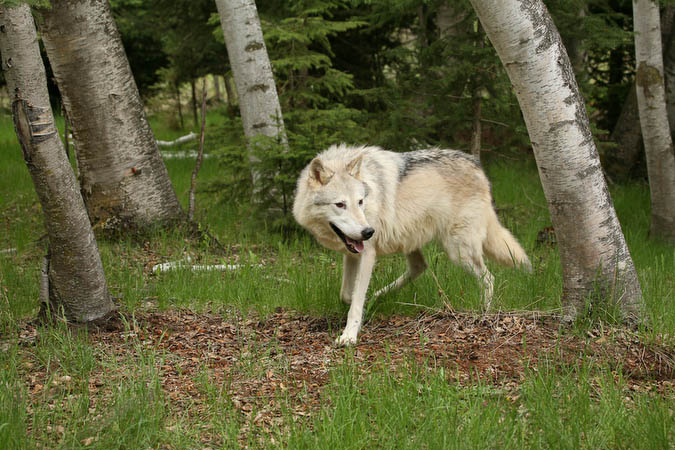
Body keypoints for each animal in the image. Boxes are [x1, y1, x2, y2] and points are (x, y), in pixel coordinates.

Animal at [294, 144, 532, 344]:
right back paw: (378, 296)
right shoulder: (352, 253)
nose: (368, 232)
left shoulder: (367, 254)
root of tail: (477, 166)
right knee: (419, 267)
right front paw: (364, 304)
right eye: (340, 204)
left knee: (488, 278)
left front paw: (349, 336)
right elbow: (347, 295)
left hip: (458, 250)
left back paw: (484, 312)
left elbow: (355, 301)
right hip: (413, 241)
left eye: (360, 202)